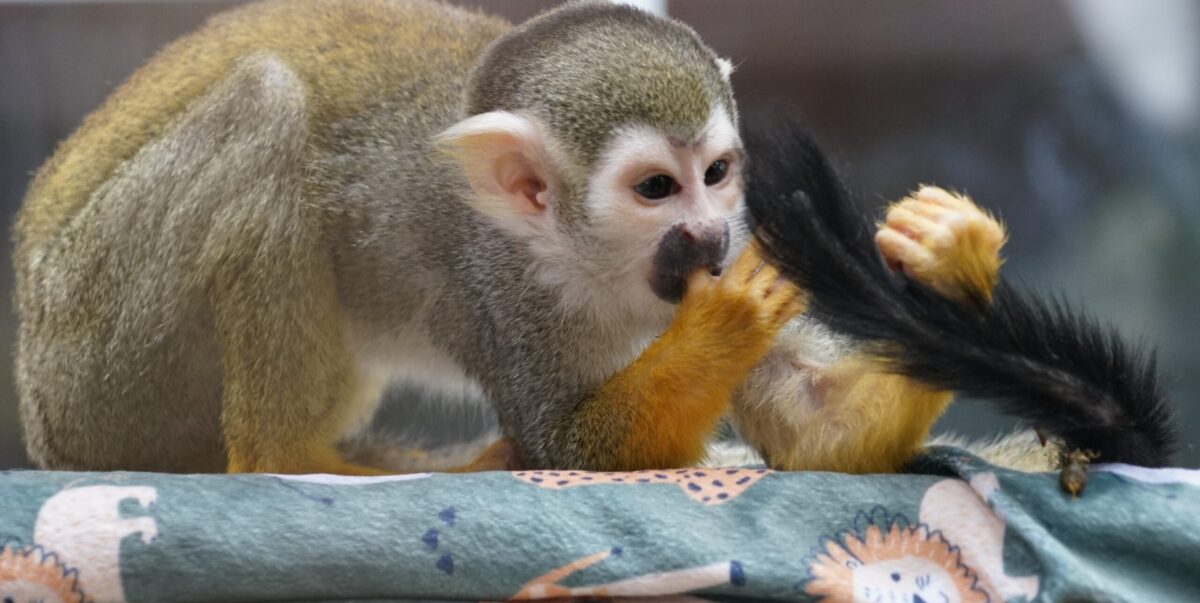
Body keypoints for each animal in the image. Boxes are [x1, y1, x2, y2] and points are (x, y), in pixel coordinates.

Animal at [13, 0, 805, 475]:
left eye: (716, 173)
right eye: (656, 189)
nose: (707, 236)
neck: (573, 257)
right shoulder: (493, 286)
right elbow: (569, 443)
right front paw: (724, 324)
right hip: (92, 353)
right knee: (266, 99)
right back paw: (288, 457)